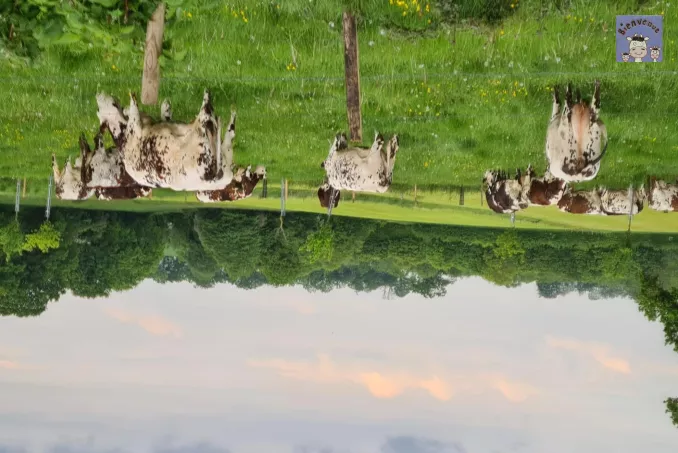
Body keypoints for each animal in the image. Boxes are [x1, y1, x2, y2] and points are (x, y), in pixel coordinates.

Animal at [96, 89, 236, 191]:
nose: (98, 95)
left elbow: (165, 118)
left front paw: (165, 107)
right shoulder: (134, 128)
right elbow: (134, 112)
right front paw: (132, 100)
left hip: (225, 155)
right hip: (204, 143)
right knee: (208, 117)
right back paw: (209, 103)